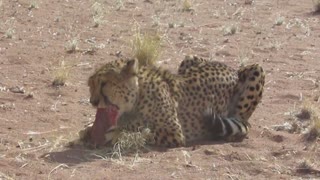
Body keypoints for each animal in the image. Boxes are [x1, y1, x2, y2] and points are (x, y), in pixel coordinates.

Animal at [82, 55, 264, 147]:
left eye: (104, 84)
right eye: (90, 85)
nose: (92, 101)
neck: (138, 94)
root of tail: (231, 69)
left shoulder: (174, 132)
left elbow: (143, 129)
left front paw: (116, 132)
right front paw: (88, 130)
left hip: (257, 69)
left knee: (242, 121)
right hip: (190, 58)